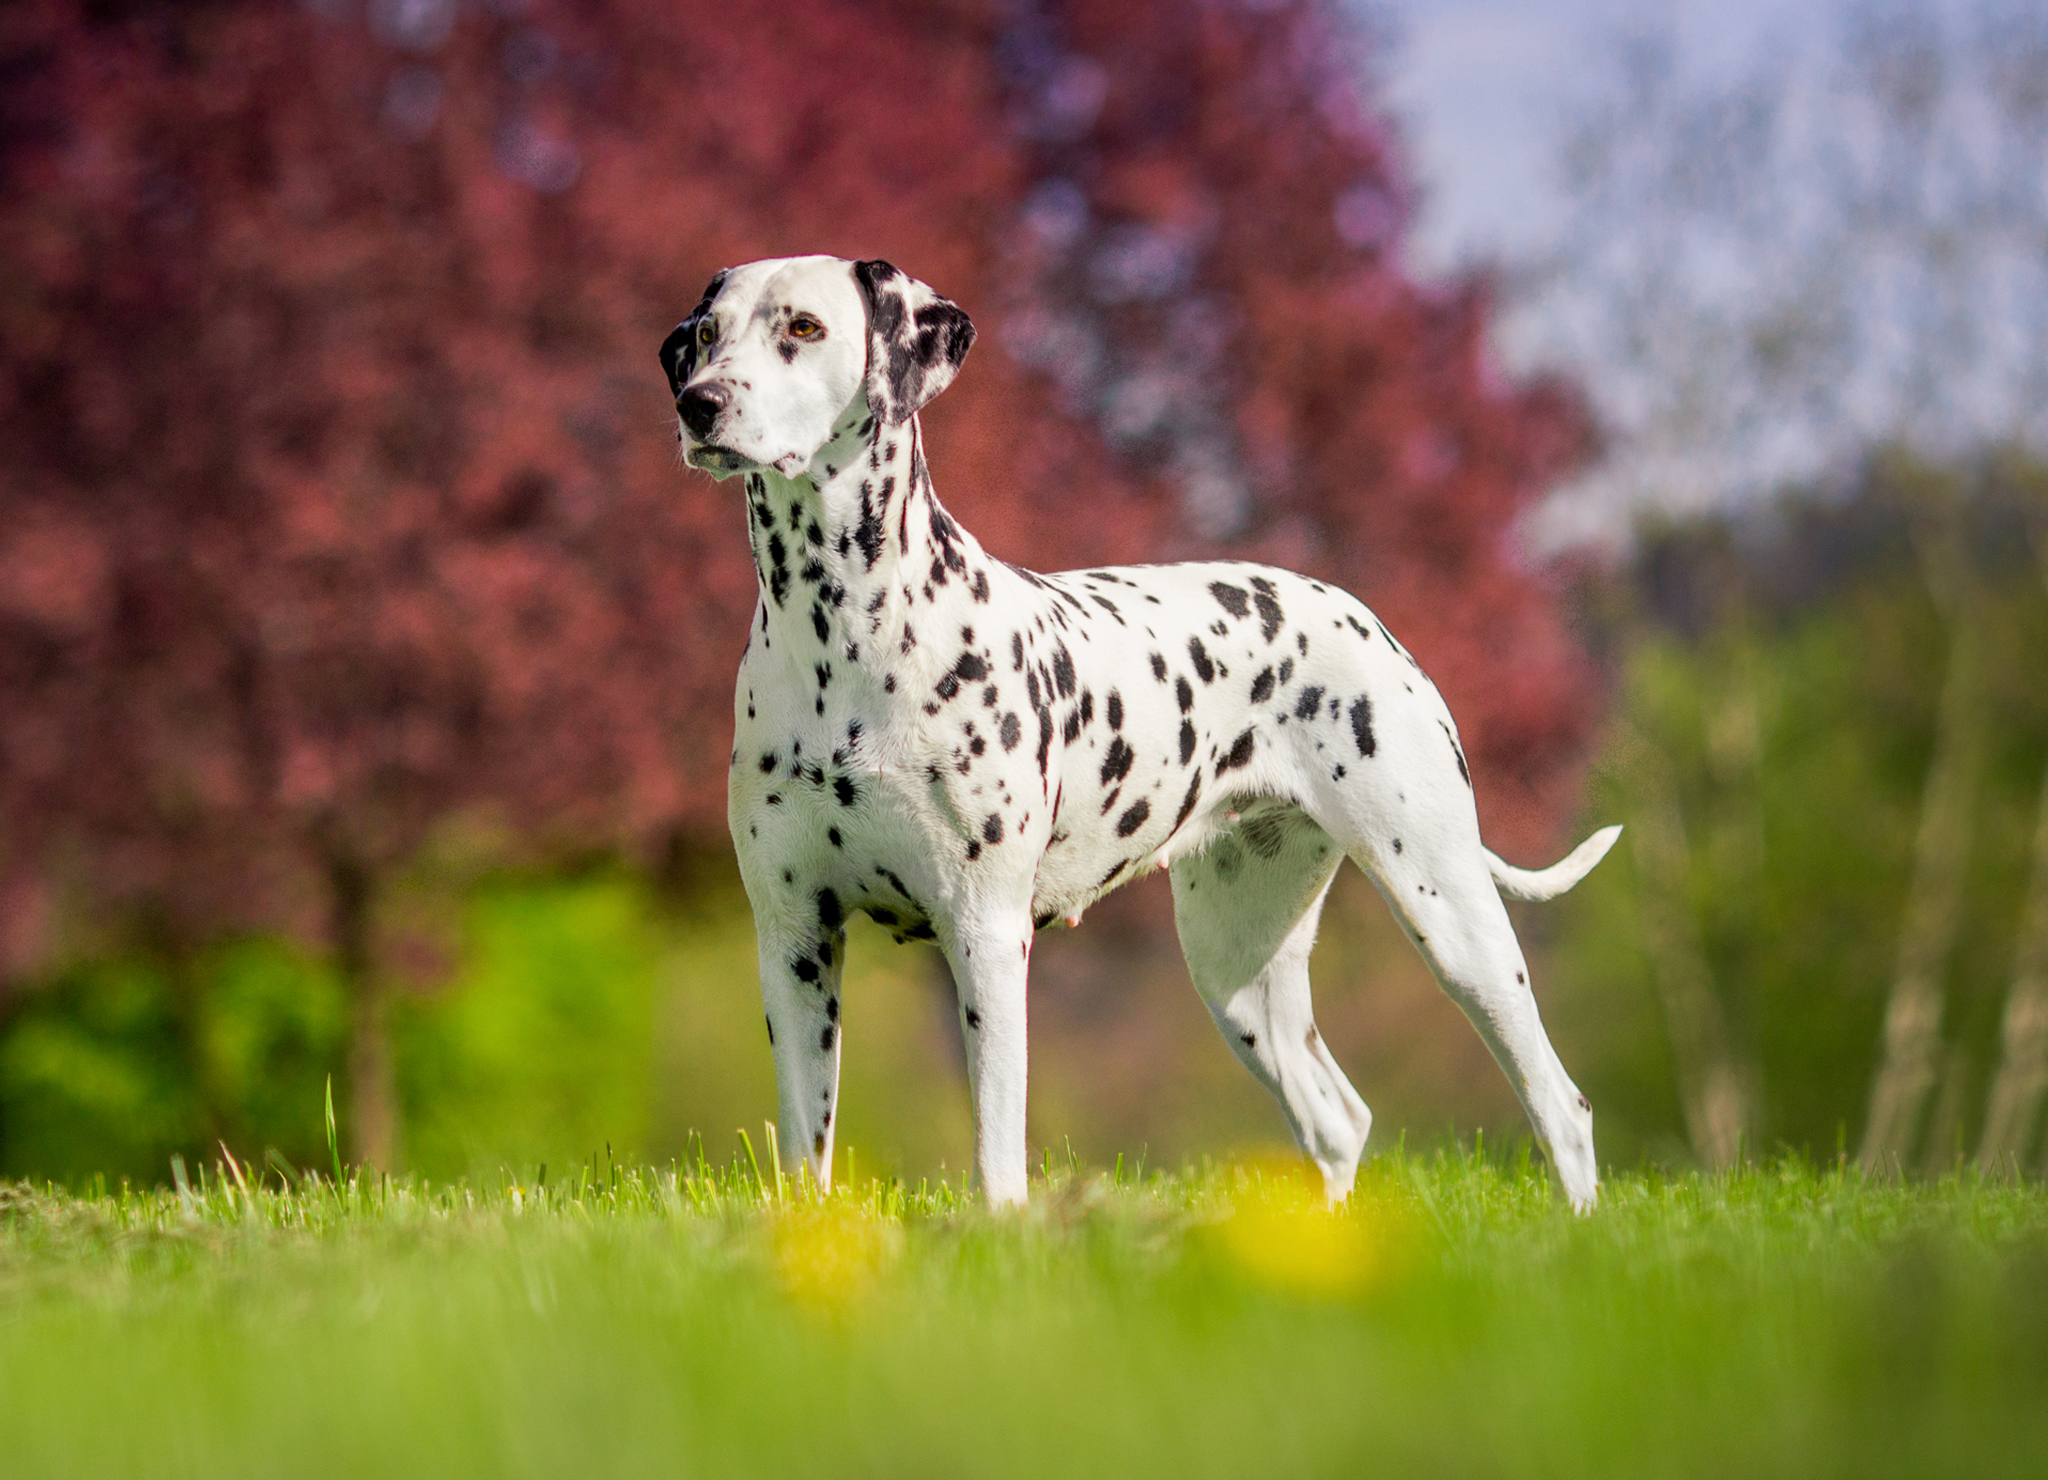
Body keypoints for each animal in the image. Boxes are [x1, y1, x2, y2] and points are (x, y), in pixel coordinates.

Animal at [663, 254, 1622, 1211]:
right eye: (709, 333)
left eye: (804, 328)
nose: (699, 403)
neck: (842, 637)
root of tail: (1364, 617)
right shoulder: (795, 939)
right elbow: (805, 1150)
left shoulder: (984, 933)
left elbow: (997, 1155)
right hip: (1237, 968)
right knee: (1338, 1120)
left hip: (1451, 916)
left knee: (1563, 1105)